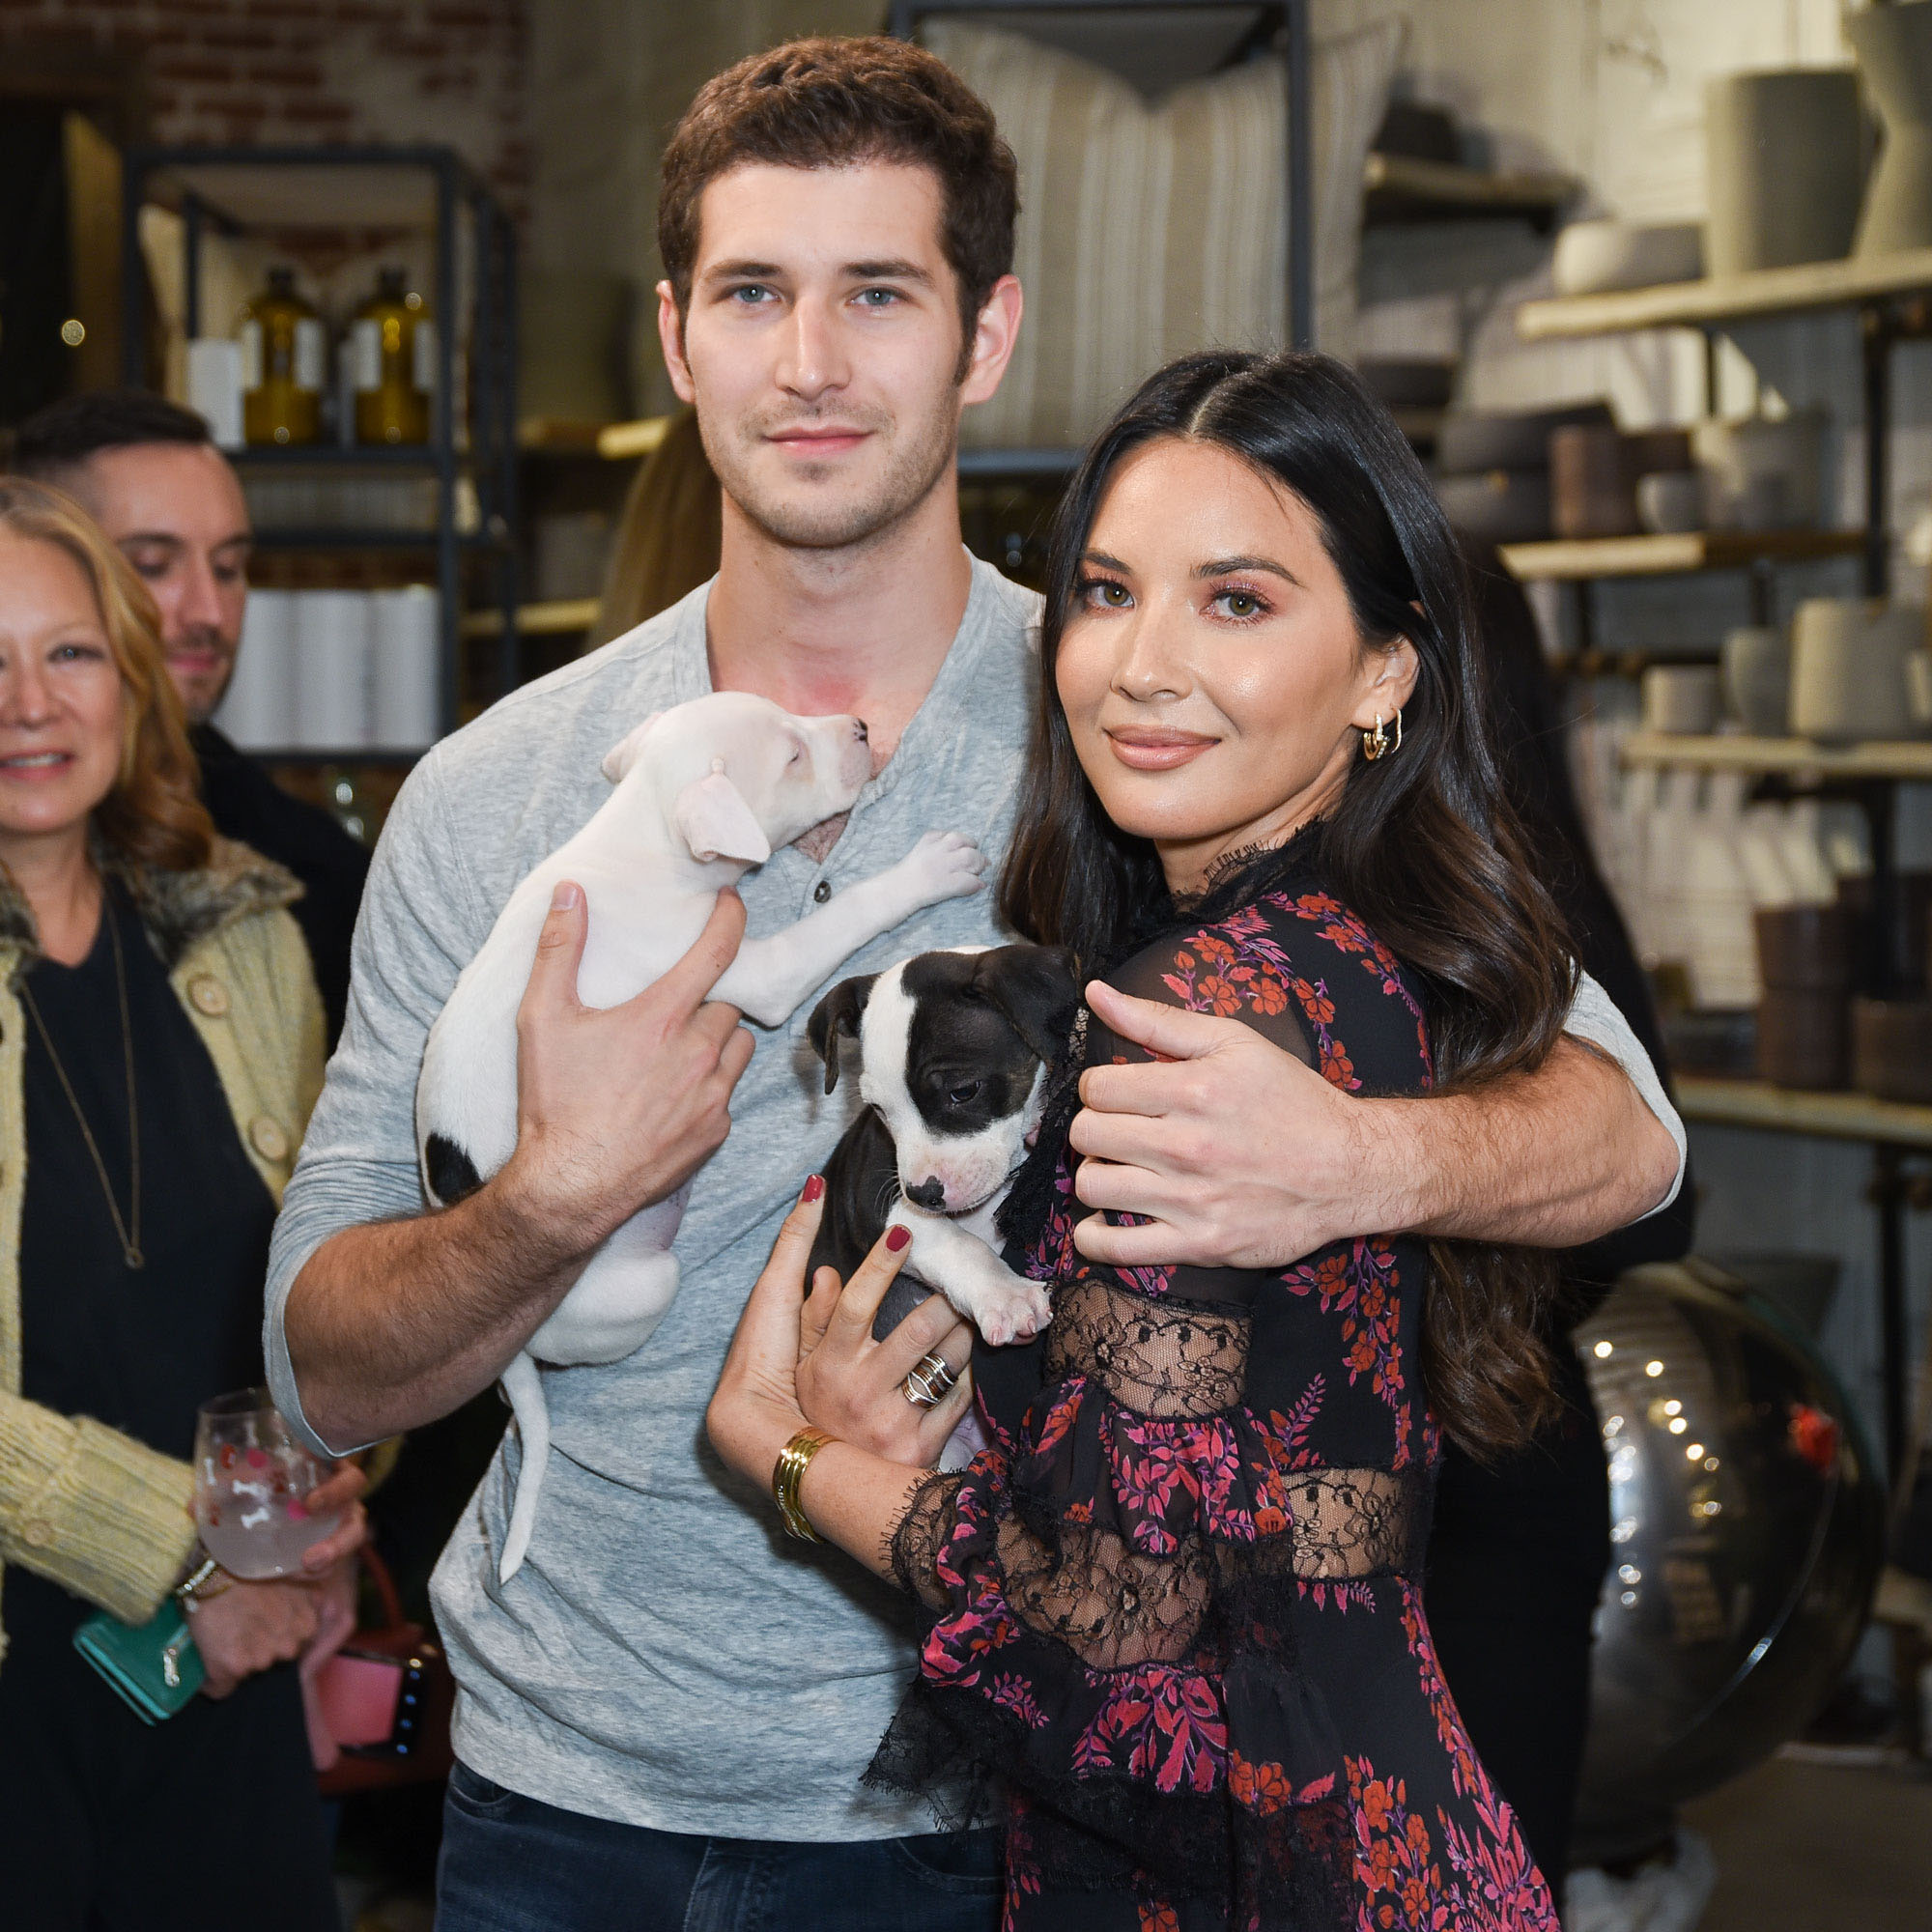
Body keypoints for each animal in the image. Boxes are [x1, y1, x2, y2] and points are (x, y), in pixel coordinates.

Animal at [417, 688, 989, 1577]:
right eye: (791, 755)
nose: (861, 728)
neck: (646, 834)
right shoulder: (760, 971)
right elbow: (840, 919)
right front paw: (927, 871)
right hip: (642, 1287)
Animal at [808, 947, 1082, 1345]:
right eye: (878, 1109)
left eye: (963, 1091)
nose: (923, 1195)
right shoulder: (871, 1197)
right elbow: (953, 1240)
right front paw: (1006, 1295)